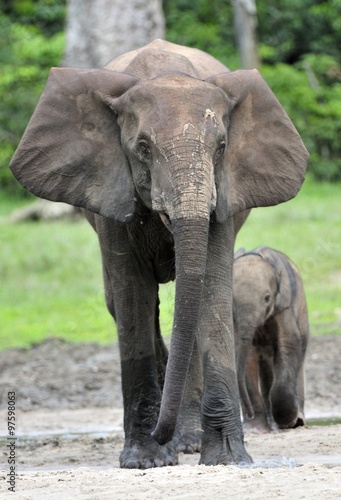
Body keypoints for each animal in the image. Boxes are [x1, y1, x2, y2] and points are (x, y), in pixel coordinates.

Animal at [231, 247, 308, 434]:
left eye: (267, 298)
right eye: (232, 301)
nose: (249, 413)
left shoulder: (284, 308)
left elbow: (288, 344)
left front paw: (288, 422)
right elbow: (247, 357)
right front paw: (254, 430)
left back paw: (297, 422)